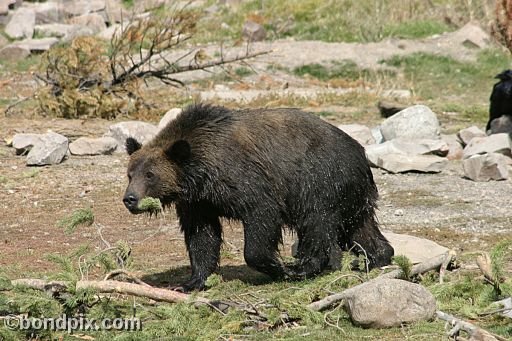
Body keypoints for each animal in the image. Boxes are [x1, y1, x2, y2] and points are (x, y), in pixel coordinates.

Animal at [123, 103, 392, 290]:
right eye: (130, 173)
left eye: (150, 175)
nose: (130, 199)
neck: (202, 172)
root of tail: (361, 154)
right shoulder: (198, 203)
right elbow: (202, 236)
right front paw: (191, 282)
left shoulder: (245, 180)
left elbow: (260, 217)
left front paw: (277, 267)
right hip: (352, 197)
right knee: (360, 228)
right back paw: (375, 257)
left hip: (320, 180)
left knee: (316, 223)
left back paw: (304, 267)